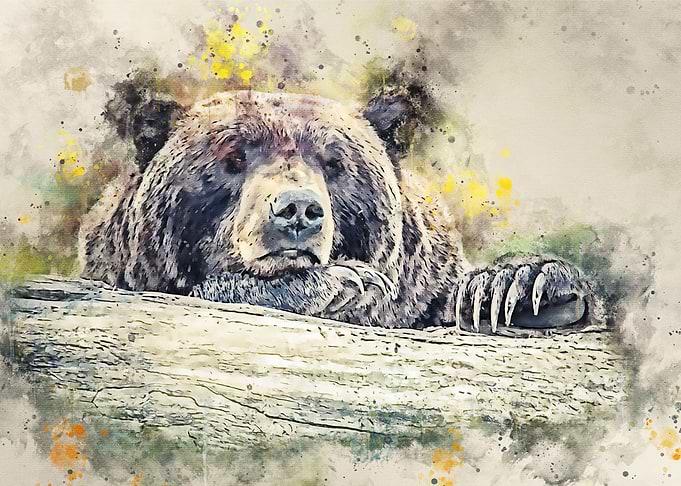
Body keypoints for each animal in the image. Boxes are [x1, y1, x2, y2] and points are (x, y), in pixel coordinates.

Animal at [80, 88, 600, 333]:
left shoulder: (425, 284)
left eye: (334, 163)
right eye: (233, 157)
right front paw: (344, 282)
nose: (297, 210)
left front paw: (518, 288)